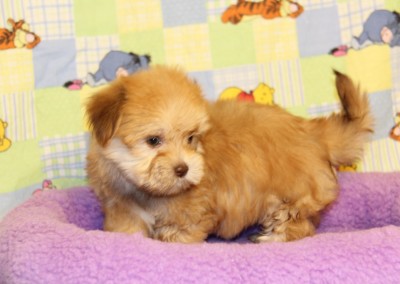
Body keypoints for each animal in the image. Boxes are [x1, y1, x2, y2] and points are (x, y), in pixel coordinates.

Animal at [86, 65, 374, 243]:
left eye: (191, 138)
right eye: (153, 140)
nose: (183, 169)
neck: (149, 192)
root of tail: (312, 131)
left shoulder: (191, 216)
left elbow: (179, 236)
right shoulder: (122, 208)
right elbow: (129, 230)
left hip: (292, 196)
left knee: (300, 226)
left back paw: (272, 238)